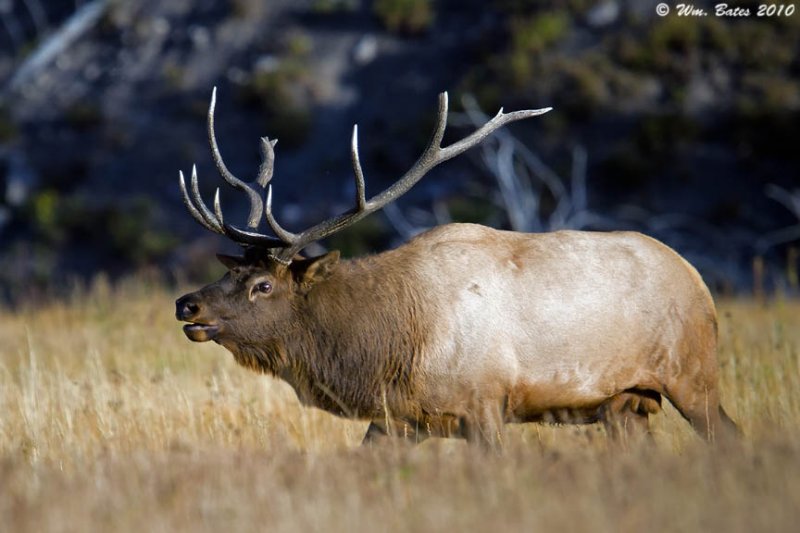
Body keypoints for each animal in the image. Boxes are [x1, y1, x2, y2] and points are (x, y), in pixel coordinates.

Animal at [175, 89, 736, 446]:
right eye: (231, 272)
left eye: (263, 285)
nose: (187, 304)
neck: (386, 347)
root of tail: (698, 279)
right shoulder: (398, 420)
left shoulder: (484, 405)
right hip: (624, 402)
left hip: (693, 374)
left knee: (729, 436)